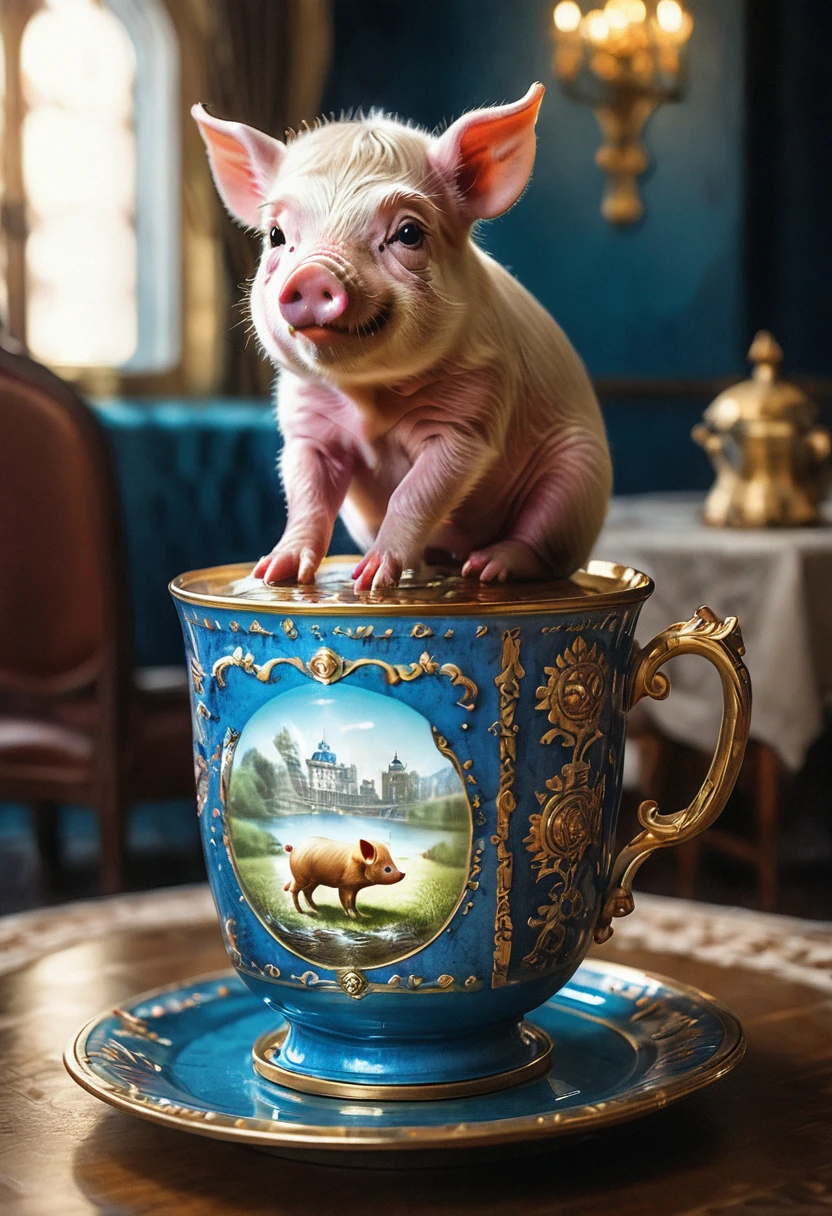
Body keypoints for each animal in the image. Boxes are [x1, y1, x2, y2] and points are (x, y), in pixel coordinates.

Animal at [194, 83, 610, 590]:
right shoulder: (307, 428)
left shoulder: (471, 418)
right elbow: (306, 498)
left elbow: (415, 494)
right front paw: (274, 573)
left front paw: (371, 580)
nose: (313, 274)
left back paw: (487, 568)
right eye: (275, 235)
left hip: (578, 480)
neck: (368, 398)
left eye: (408, 233)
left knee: (542, 547)